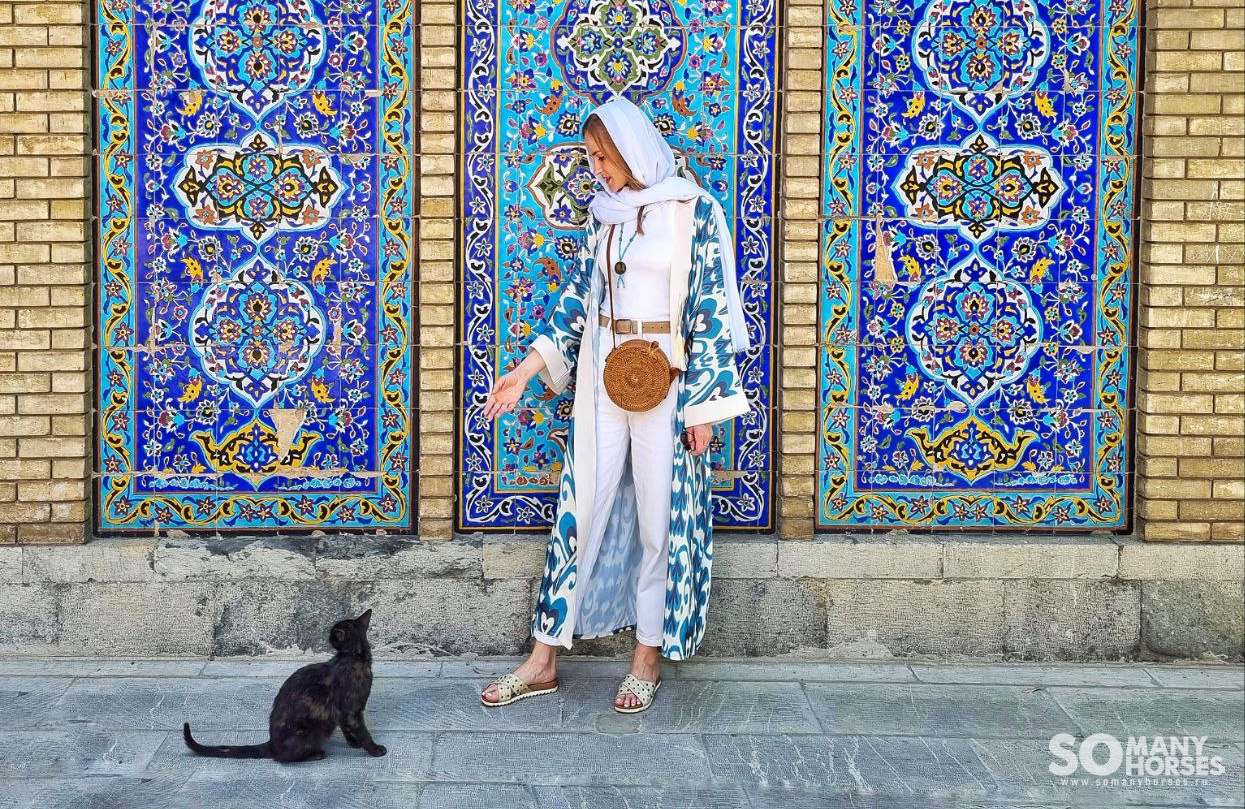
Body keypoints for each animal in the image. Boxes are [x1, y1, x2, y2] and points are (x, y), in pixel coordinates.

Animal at [183, 609, 387, 763]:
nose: (327, 634)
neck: (352, 658)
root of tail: (272, 742)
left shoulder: (346, 712)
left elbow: (348, 728)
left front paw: (354, 743)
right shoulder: (351, 710)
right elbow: (362, 731)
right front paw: (374, 749)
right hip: (313, 731)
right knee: (282, 758)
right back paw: (315, 754)